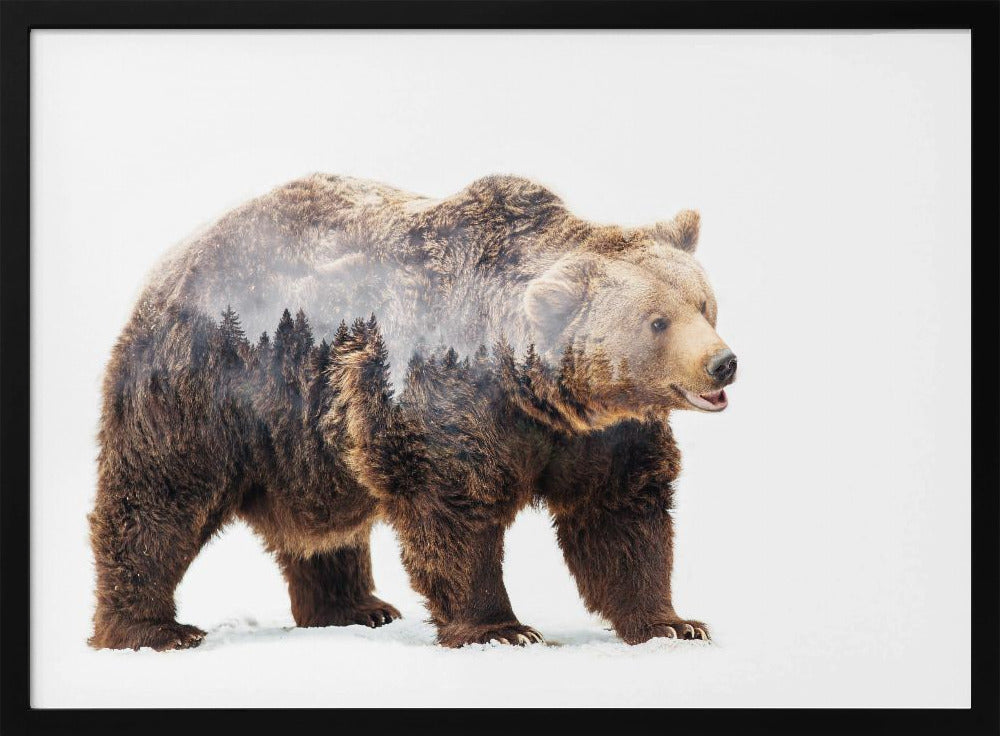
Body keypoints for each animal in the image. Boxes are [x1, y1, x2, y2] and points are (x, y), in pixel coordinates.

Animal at [88, 174, 737, 650]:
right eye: (657, 321)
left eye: (704, 304)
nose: (722, 363)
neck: (536, 393)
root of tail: (172, 259)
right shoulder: (443, 397)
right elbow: (453, 511)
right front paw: (502, 629)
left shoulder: (601, 437)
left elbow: (621, 516)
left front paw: (673, 622)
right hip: (208, 384)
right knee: (160, 497)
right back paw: (152, 629)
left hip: (305, 439)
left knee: (323, 531)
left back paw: (355, 607)